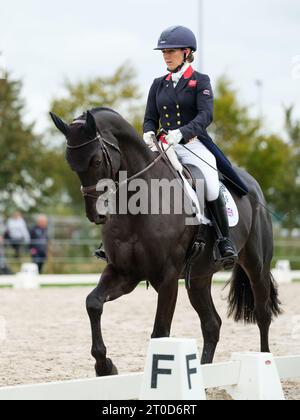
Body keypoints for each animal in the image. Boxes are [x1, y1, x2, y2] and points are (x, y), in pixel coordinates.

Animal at [50, 108, 282, 378]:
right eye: (71, 163)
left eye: (96, 161)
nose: (96, 215)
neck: (138, 204)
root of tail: (253, 185)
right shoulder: (124, 272)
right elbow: (93, 303)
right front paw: (105, 366)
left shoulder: (168, 277)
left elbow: (160, 332)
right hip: (199, 277)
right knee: (211, 324)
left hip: (256, 264)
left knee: (262, 313)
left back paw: (265, 361)